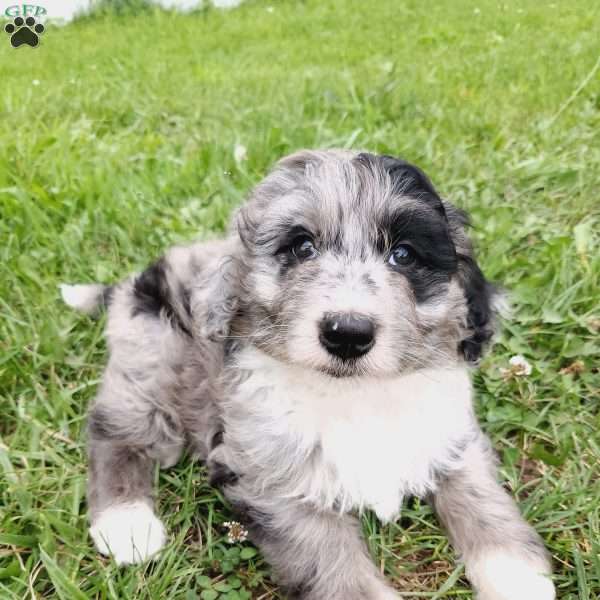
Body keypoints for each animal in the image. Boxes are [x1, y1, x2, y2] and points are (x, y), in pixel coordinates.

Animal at [63, 150, 556, 600]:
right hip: (154, 355)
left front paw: (518, 577)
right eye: (302, 247)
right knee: (117, 428)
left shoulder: (452, 435)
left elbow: (481, 497)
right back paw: (126, 523)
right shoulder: (272, 481)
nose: (348, 334)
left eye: (403, 254)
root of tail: (135, 279)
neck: (355, 392)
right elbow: (332, 560)